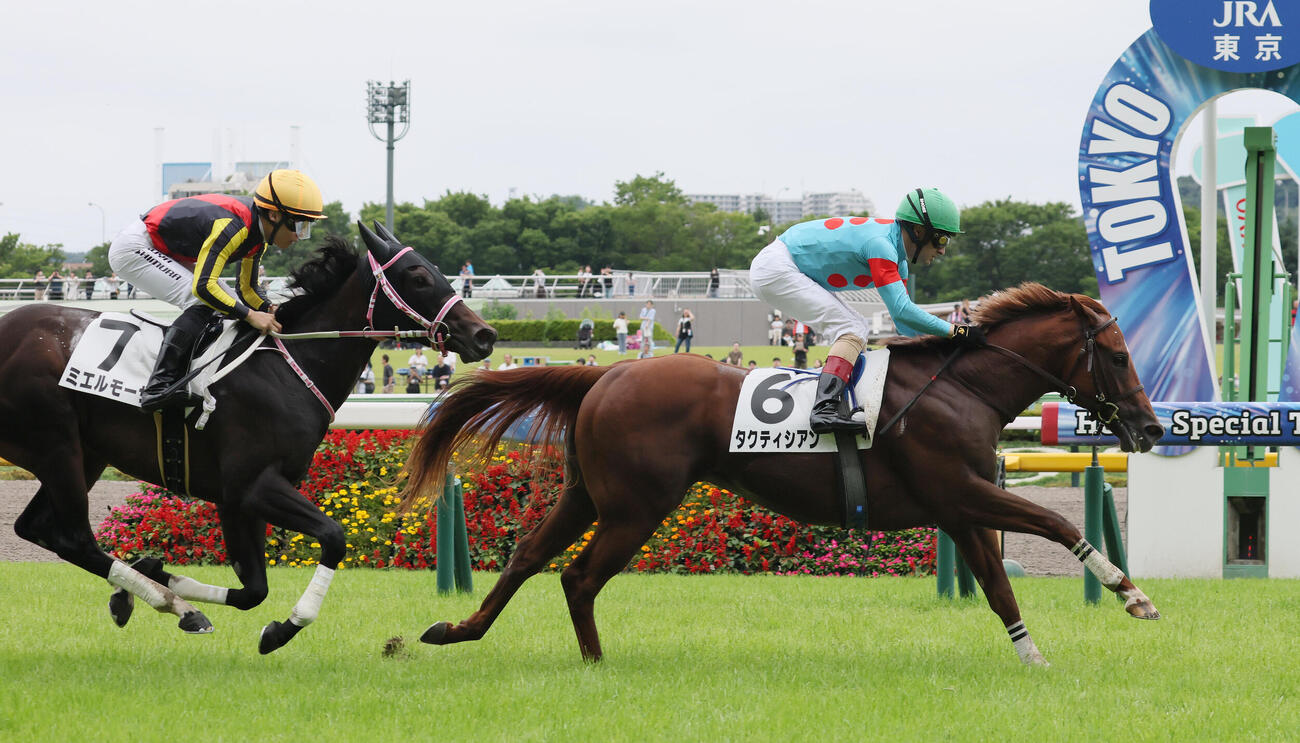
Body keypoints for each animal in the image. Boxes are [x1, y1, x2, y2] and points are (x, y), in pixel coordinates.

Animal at [0, 221, 496, 653]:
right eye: (418, 276)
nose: (484, 334)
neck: (286, 367)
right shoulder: (253, 486)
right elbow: (334, 536)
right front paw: (285, 628)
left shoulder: (237, 499)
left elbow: (252, 589)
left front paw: (153, 569)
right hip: (58, 446)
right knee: (75, 538)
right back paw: (179, 608)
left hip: (84, 455)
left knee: (41, 530)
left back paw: (164, 601)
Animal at [400, 283, 1165, 666]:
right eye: (1119, 356)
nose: (1152, 428)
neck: (959, 388)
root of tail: (609, 372)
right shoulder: (962, 491)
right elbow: (1055, 520)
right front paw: (1133, 594)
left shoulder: (960, 508)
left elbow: (1002, 588)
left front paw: (1032, 658)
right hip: (636, 507)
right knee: (578, 576)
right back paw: (595, 663)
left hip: (590, 494)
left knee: (528, 556)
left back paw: (455, 631)